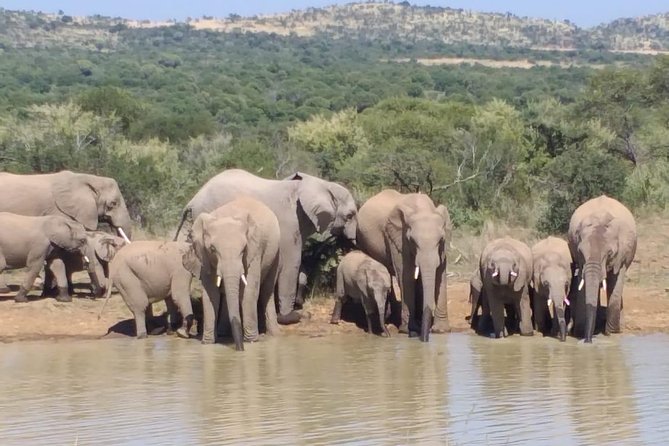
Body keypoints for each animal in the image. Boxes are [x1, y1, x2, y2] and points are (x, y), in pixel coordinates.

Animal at [174, 169, 357, 326]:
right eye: (350, 215)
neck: (322, 184)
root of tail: (192, 201)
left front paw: (297, 304)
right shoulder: (289, 222)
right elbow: (292, 263)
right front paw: (290, 316)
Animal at [183, 196, 281, 351]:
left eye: (244, 249)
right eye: (212, 249)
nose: (240, 349)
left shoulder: (254, 249)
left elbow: (249, 290)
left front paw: (251, 341)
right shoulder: (204, 255)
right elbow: (211, 294)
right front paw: (208, 343)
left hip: (275, 250)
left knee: (267, 290)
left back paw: (274, 335)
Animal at [356, 190, 451, 342]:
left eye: (440, 239)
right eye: (412, 241)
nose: (424, 340)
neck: (423, 209)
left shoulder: (442, 249)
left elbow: (440, 274)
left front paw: (441, 331)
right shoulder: (398, 239)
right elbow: (405, 275)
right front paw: (409, 330)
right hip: (362, 241)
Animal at [568, 195, 637, 343]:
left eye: (609, 254)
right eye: (580, 252)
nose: (588, 341)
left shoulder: (622, 254)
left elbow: (616, 282)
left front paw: (612, 332)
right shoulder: (580, 258)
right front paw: (580, 332)